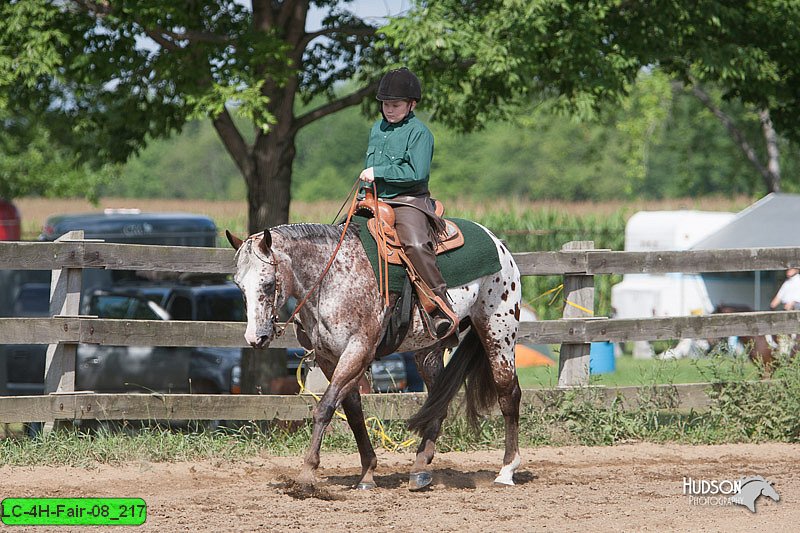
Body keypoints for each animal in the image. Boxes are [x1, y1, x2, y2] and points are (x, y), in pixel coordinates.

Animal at [227, 221, 524, 490]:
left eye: (267, 284)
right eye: (239, 286)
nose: (255, 338)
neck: (333, 278)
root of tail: (498, 244)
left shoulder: (358, 349)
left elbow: (325, 408)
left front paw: (306, 474)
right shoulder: (329, 358)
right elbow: (353, 412)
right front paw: (367, 473)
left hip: (499, 333)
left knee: (508, 393)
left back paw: (506, 470)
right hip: (428, 352)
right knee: (439, 400)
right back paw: (420, 468)